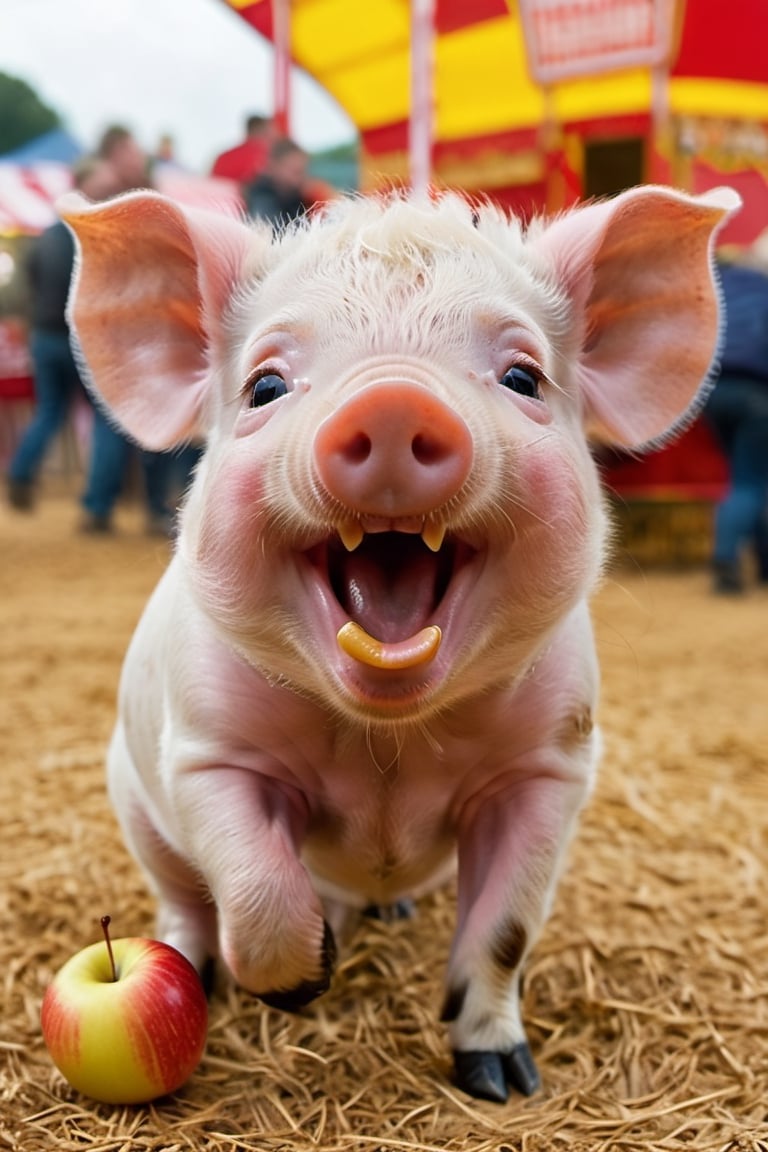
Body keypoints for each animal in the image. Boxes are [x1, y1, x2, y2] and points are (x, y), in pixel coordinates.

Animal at [61, 183, 737, 1103]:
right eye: (266, 385)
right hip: (133, 802)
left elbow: (507, 930)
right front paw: (307, 979)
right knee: (186, 904)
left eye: (522, 376)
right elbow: (255, 886)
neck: (389, 744)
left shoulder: (551, 764)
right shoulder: (204, 749)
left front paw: (501, 1081)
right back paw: (207, 967)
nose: (391, 400)